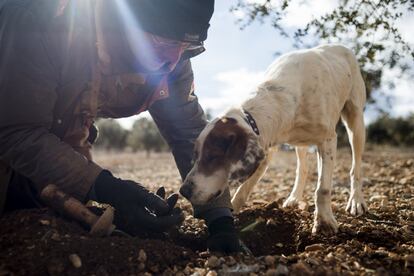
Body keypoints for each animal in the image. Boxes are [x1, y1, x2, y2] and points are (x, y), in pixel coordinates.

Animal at [180, 44, 368, 235]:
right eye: (196, 155)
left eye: (213, 156)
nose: (183, 191)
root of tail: (340, 47)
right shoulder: (266, 149)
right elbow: (243, 189)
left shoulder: (328, 139)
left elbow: (322, 189)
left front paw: (324, 221)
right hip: (301, 144)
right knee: (302, 169)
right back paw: (294, 197)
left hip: (355, 122)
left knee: (356, 168)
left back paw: (356, 200)